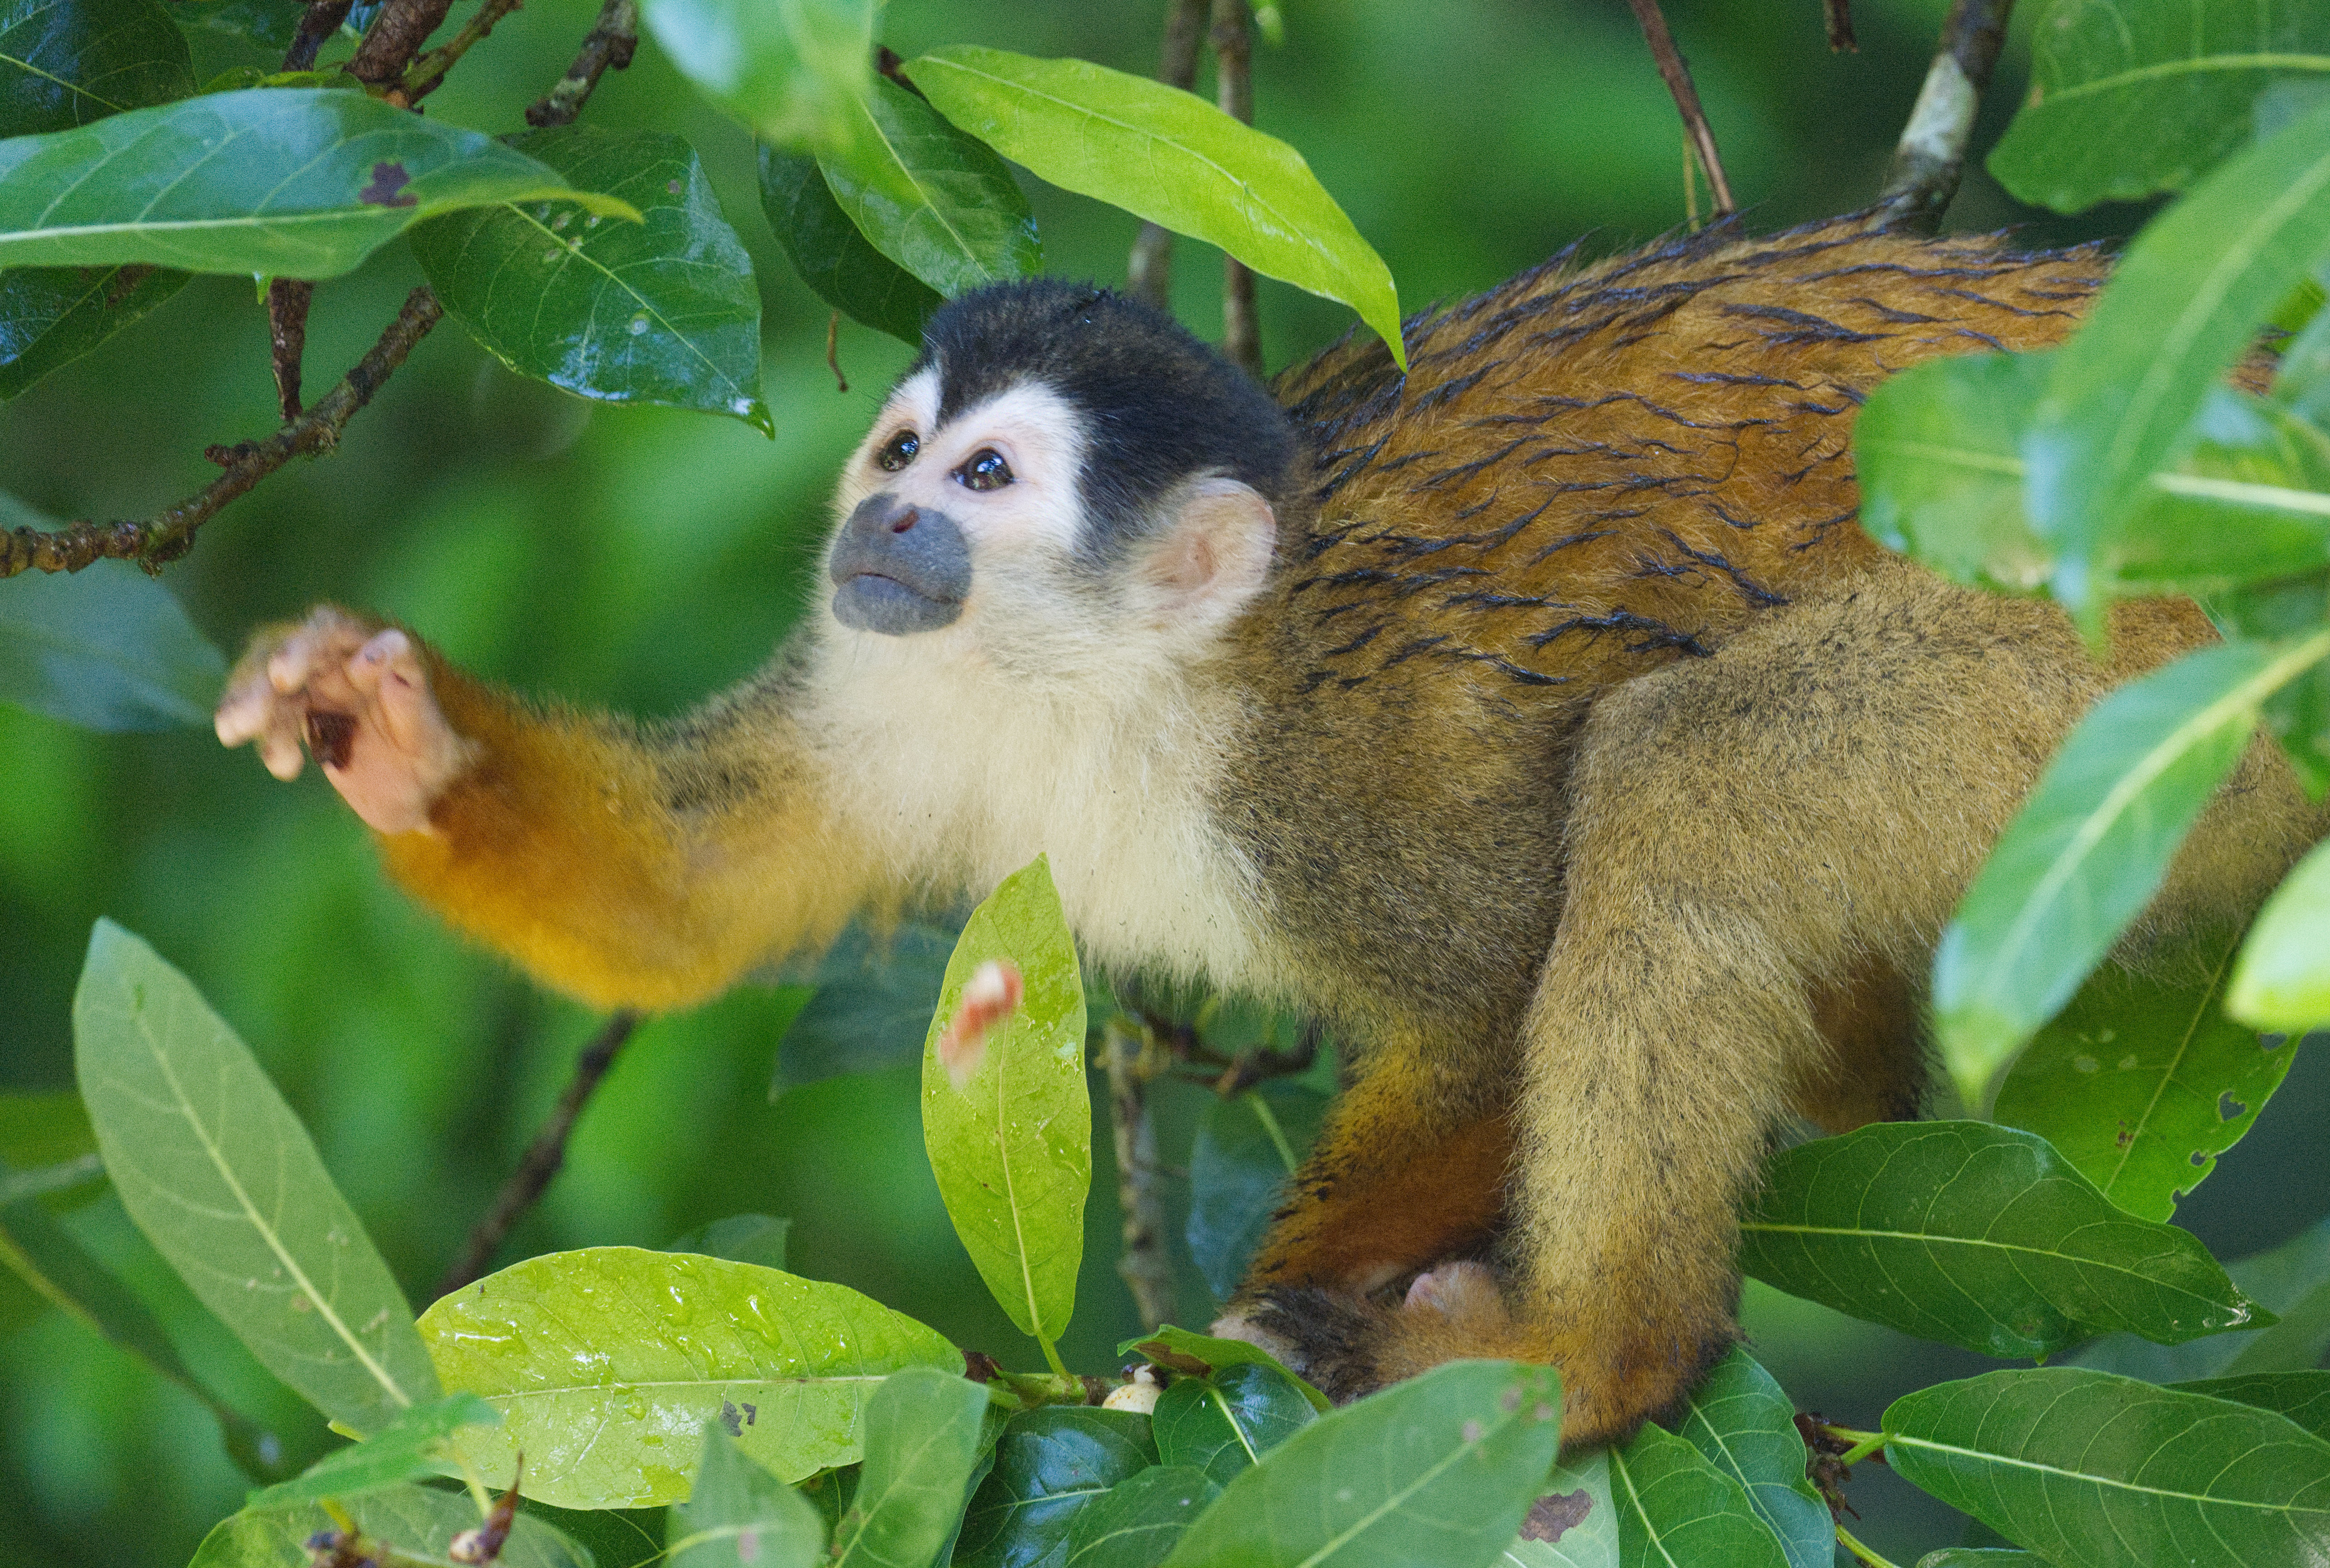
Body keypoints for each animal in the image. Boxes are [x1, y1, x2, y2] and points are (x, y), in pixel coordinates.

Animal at [215, 213, 2325, 1448]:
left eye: (987, 478)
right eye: (902, 451)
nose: (879, 525)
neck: (1111, 692)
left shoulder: (1349, 768)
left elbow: (1487, 997)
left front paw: (1209, 1347)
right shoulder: (903, 707)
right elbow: (689, 899)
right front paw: (382, 726)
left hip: (2159, 663)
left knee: (1681, 782)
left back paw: (1597, 1359)